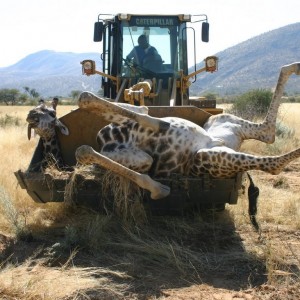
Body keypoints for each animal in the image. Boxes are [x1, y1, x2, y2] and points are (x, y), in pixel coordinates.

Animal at [75, 62, 300, 200]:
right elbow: (84, 150)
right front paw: (159, 189)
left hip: (217, 127)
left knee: (269, 139)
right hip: (208, 150)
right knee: (270, 143)